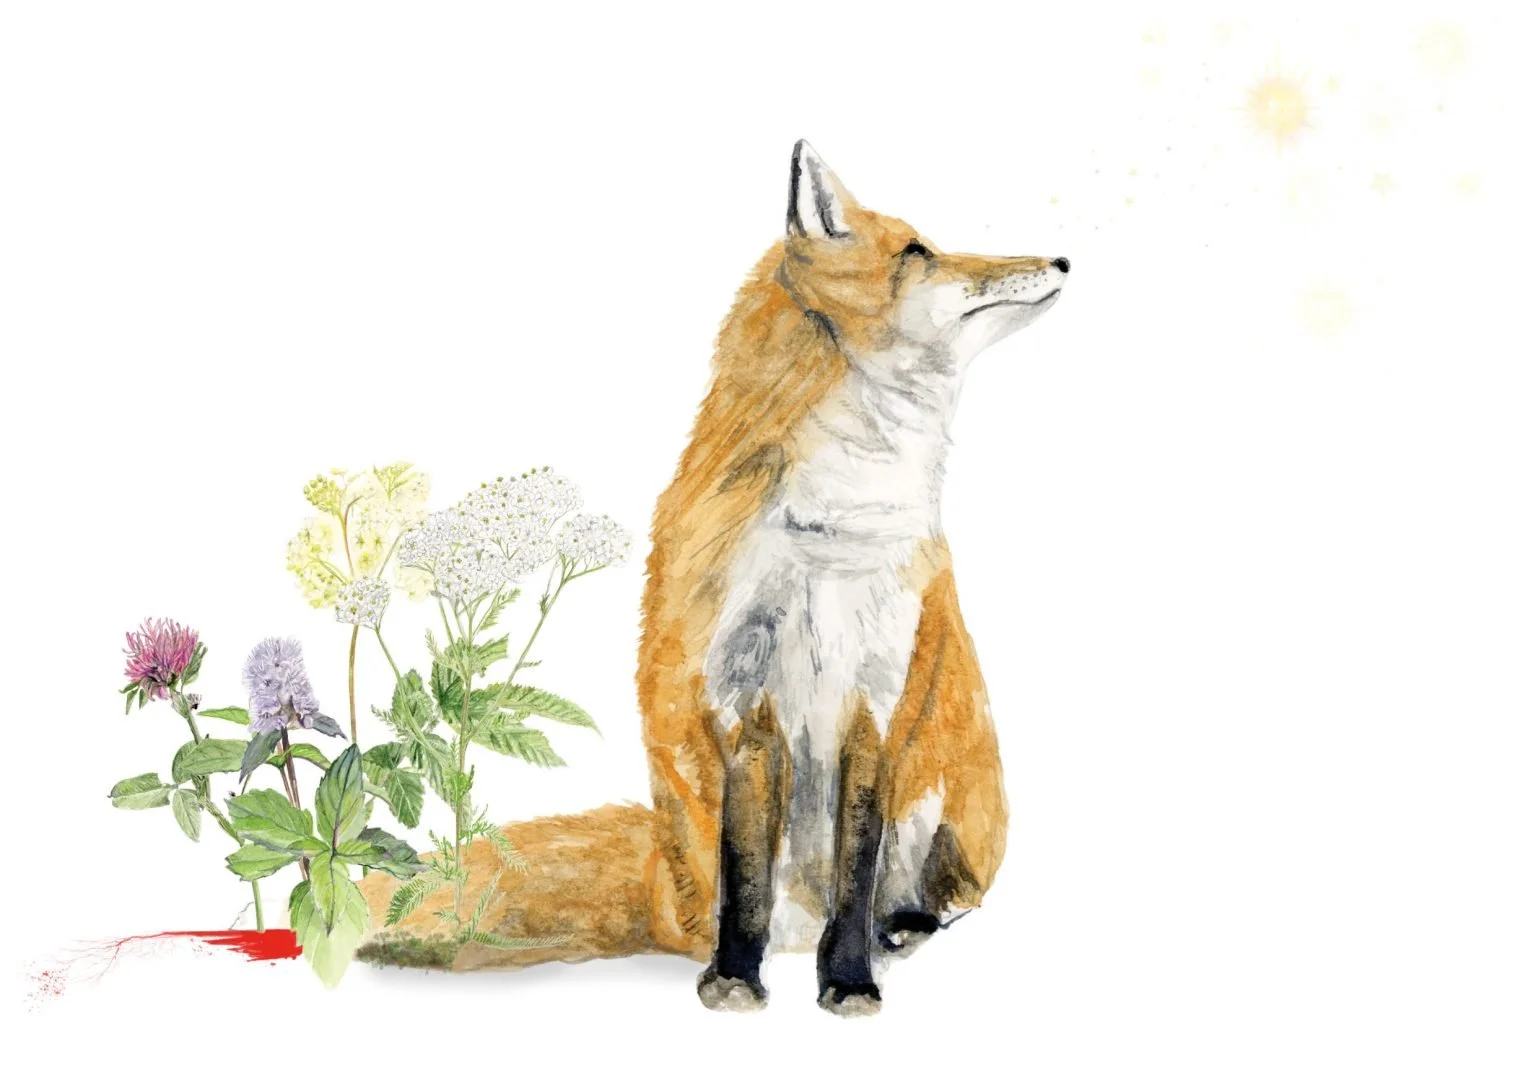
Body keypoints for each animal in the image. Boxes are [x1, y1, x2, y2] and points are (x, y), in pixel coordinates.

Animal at [360, 141, 1069, 1015]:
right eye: (917, 252)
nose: (1063, 260)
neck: (831, 536)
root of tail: (661, 876)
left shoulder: (874, 696)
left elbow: (857, 865)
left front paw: (849, 977)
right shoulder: (743, 693)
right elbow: (747, 873)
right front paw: (734, 976)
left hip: (943, 793)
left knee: (940, 892)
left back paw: (900, 925)